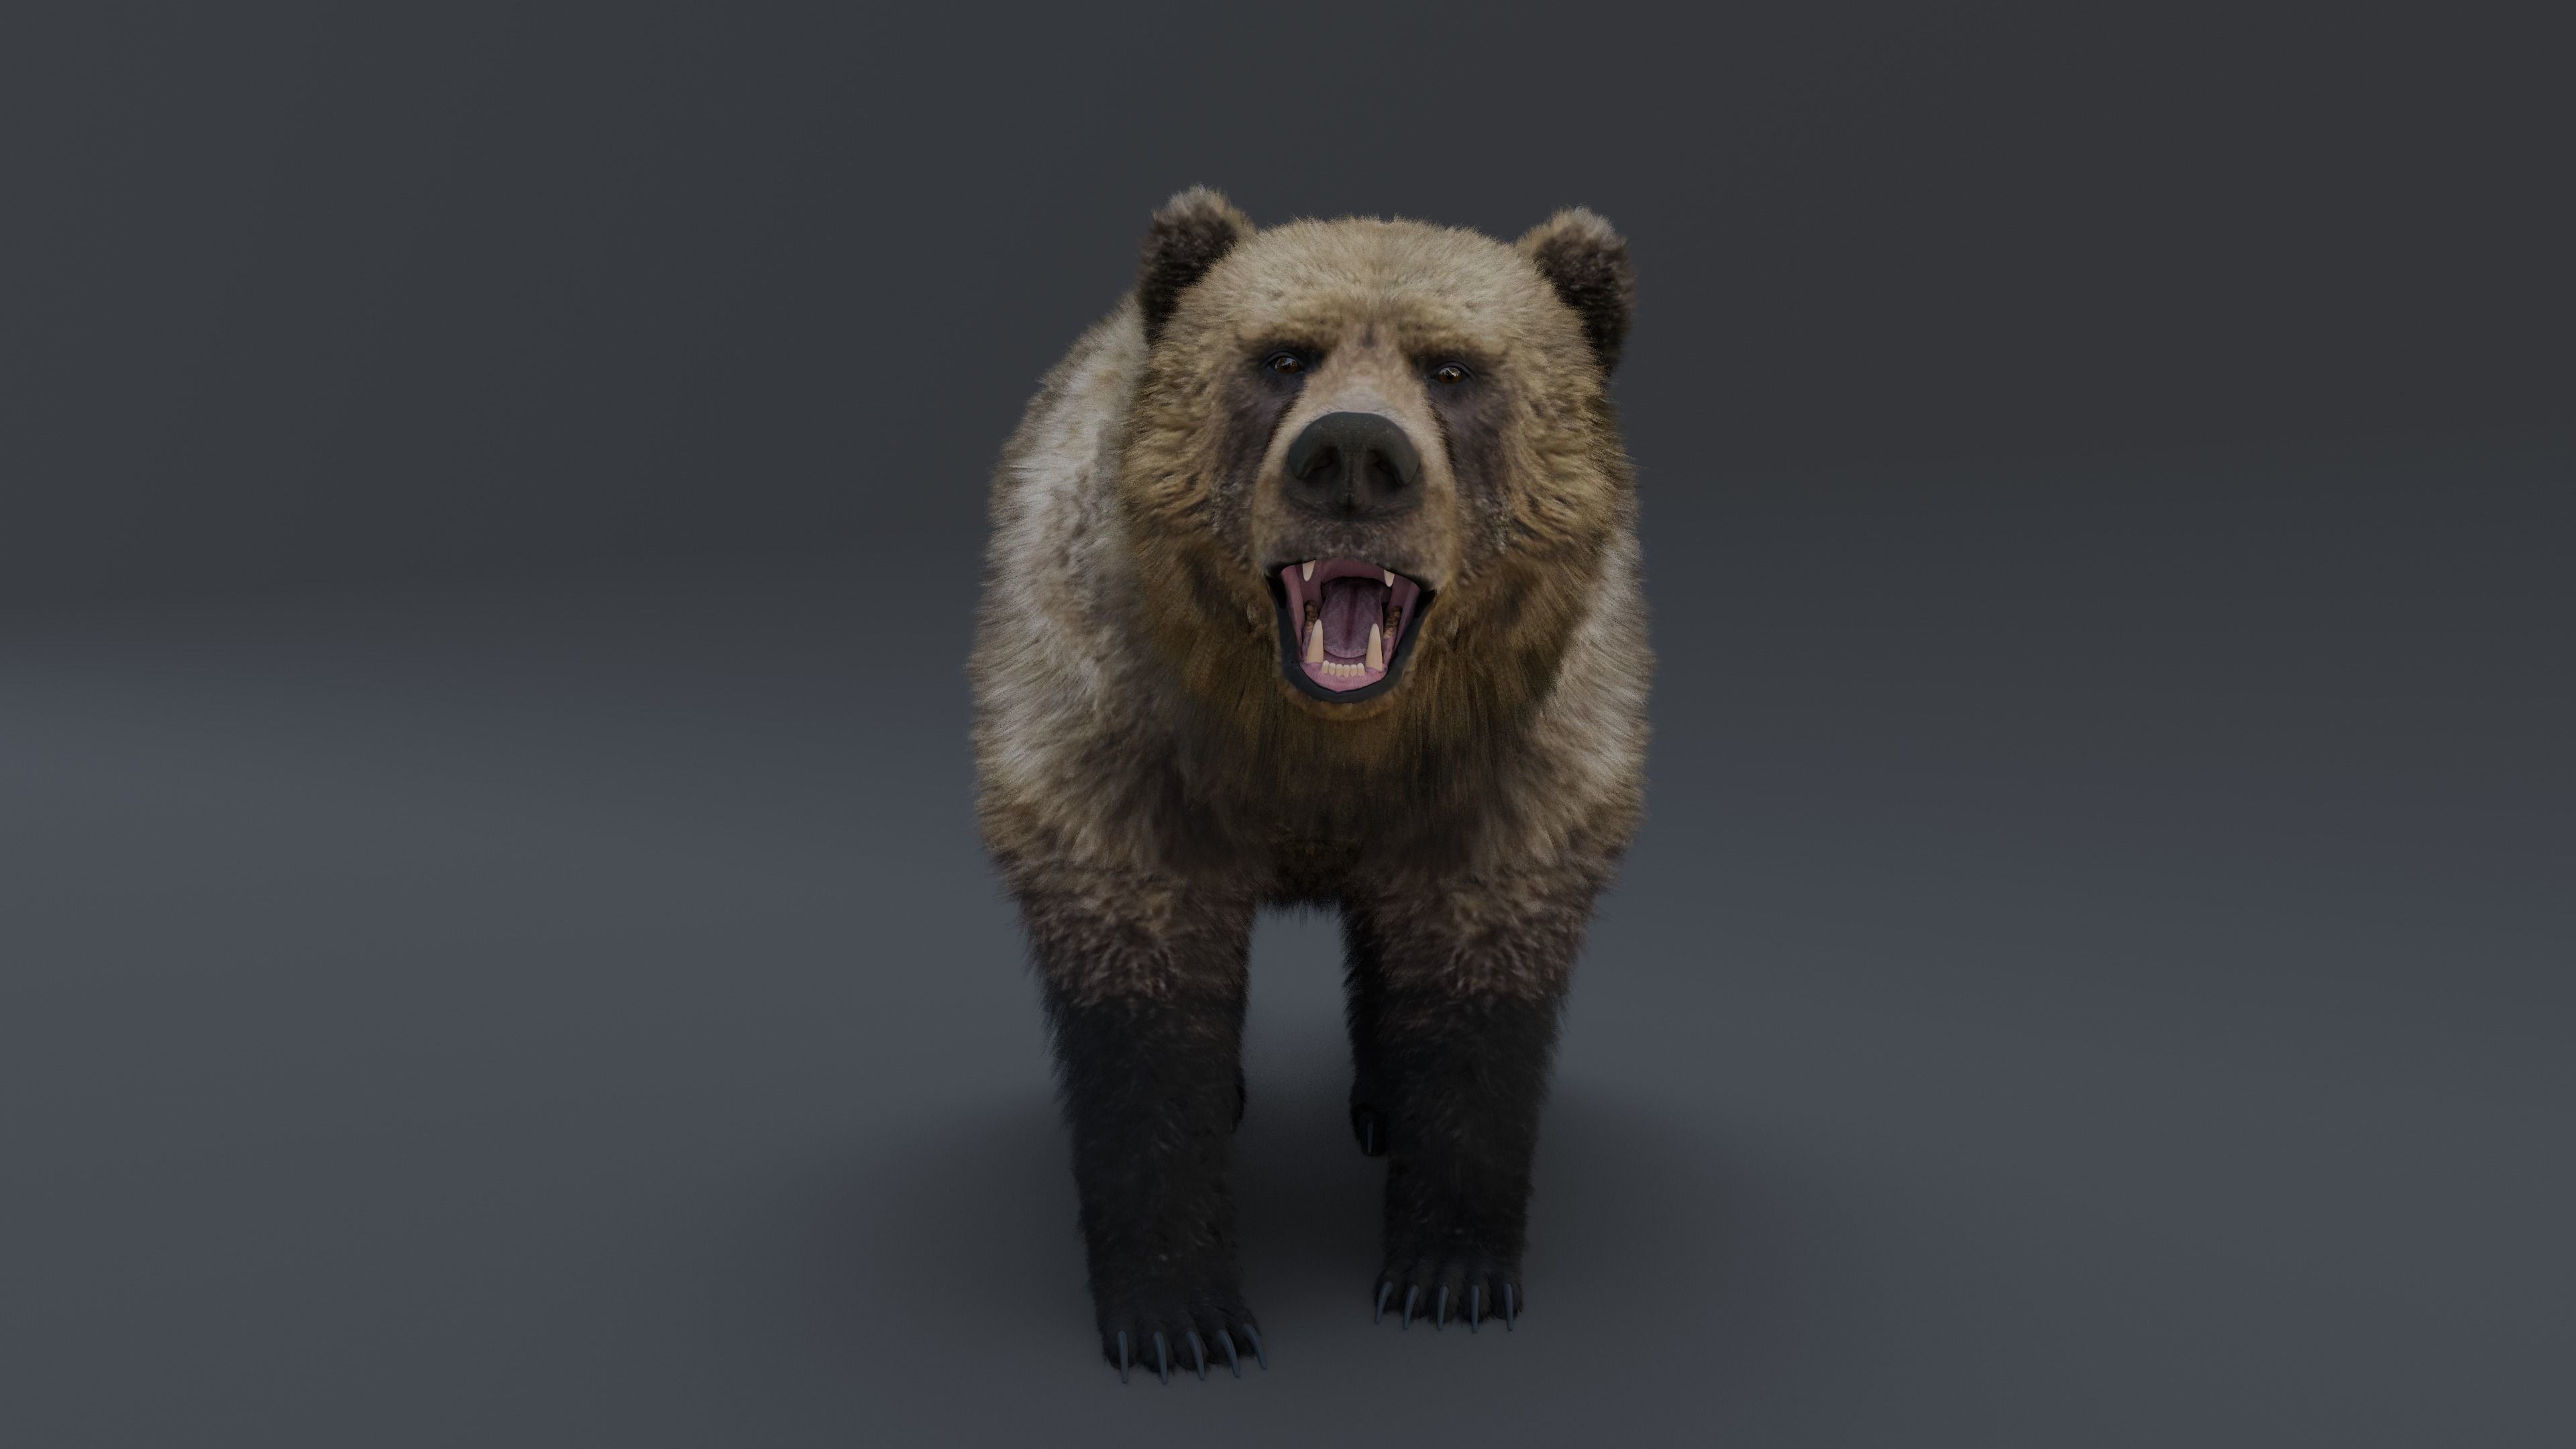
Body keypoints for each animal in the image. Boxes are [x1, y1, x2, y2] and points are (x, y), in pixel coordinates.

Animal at [969, 187, 1648, 1382]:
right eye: (1283, 358)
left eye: (1453, 369)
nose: (1354, 452)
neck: (1322, 747)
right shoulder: (1112, 734)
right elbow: (1143, 1007)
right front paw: (1179, 1313)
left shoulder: (1520, 762)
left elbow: (1479, 990)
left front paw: (1448, 1271)